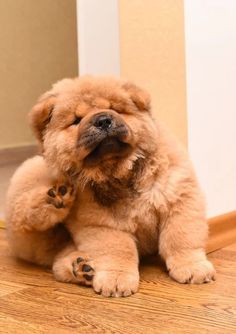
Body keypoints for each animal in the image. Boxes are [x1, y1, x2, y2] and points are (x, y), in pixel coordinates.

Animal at [5, 76, 216, 298]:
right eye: (76, 120)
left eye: (115, 109)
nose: (103, 120)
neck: (120, 172)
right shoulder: (103, 223)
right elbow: (118, 250)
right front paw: (116, 280)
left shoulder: (179, 198)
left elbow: (181, 237)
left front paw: (192, 267)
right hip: (32, 183)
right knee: (25, 220)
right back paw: (54, 198)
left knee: (58, 261)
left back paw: (82, 267)